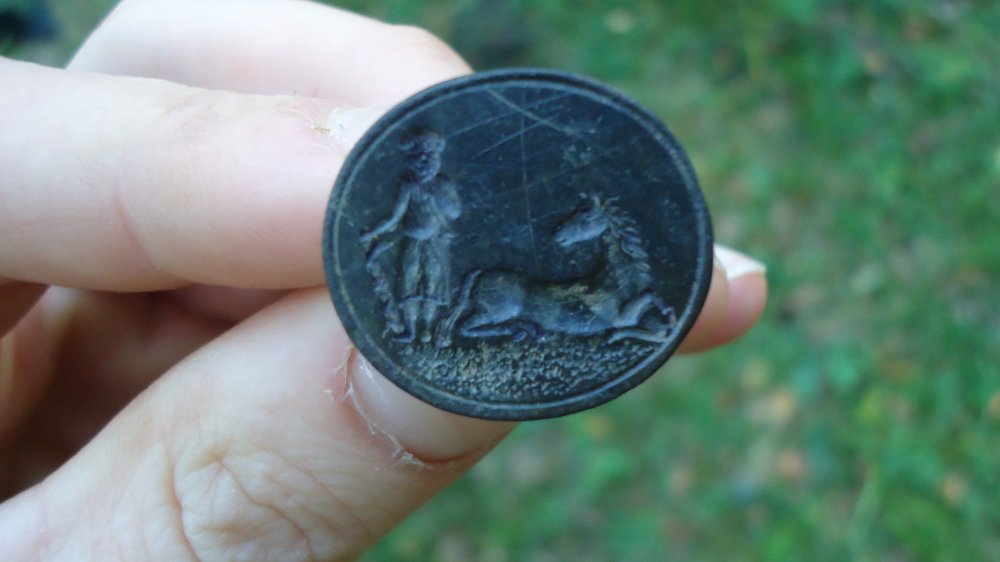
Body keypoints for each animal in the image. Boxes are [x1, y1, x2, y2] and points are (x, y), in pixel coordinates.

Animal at [436, 193, 676, 347]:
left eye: (587, 216)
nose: (558, 232)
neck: (618, 280)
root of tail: (481, 274)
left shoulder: (637, 316)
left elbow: (659, 330)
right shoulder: (622, 316)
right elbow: (650, 299)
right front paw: (668, 315)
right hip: (498, 310)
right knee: (465, 327)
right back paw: (518, 330)